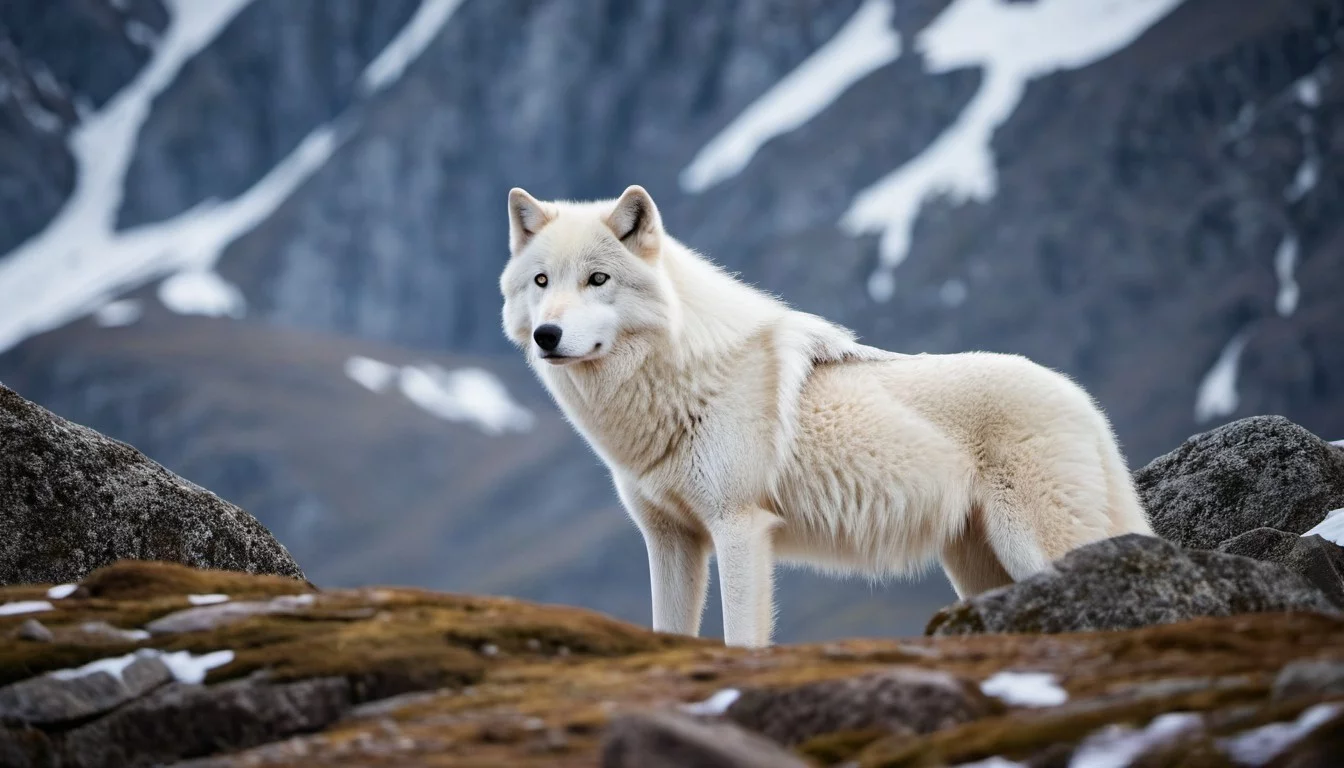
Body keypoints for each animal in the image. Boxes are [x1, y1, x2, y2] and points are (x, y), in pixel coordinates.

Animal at [499, 184, 1153, 648]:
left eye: (598, 278)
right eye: (541, 281)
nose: (547, 335)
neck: (678, 383)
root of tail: (1083, 400)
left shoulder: (739, 528)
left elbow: (741, 639)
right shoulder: (669, 541)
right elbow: (670, 634)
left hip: (1037, 548)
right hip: (980, 570)